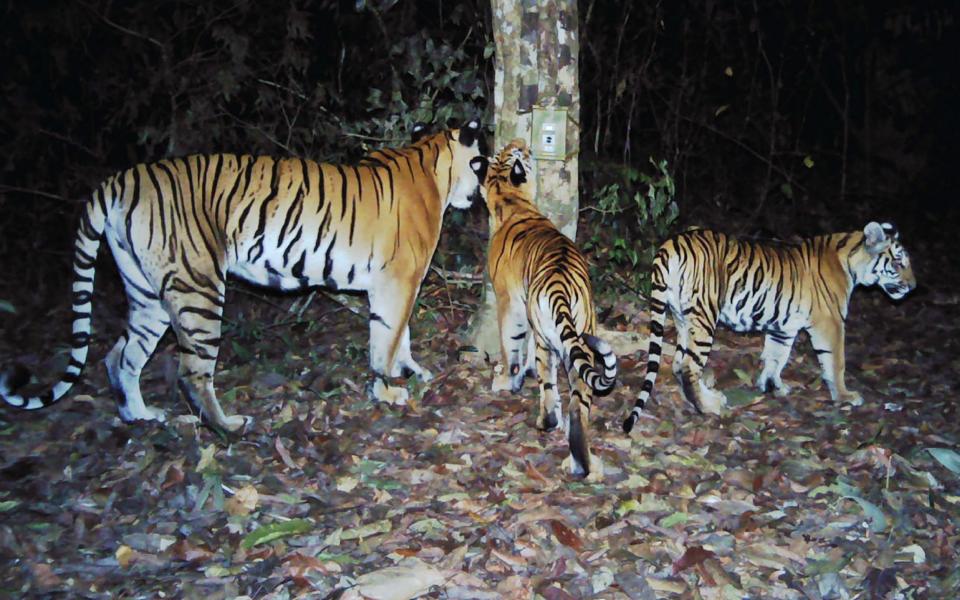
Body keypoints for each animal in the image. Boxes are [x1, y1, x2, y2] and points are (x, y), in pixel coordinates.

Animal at [0, 120, 488, 432]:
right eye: (482, 161)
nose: (480, 194)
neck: (430, 162)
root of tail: (118, 181)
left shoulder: (393, 283)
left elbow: (398, 335)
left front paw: (411, 372)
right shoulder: (397, 279)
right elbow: (386, 339)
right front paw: (389, 390)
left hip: (146, 293)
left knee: (119, 355)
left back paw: (140, 416)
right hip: (198, 287)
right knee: (191, 371)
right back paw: (229, 426)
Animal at [470, 137, 620, 478]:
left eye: (515, 152)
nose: (521, 142)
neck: (511, 200)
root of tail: (561, 286)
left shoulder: (510, 303)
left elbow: (511, 348)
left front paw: (507, 380)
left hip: (547, 340)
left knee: (550, 389)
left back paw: (547, 422)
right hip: (582, 335)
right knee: (579, 401)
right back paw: (580, 459)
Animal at [624, 220, 916, 432]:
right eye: (898, 262)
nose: (913, 287)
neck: (851, 261)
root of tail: (672, 243)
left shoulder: (782, 327)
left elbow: (777, 357)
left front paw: (772, 386)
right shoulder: (830, 323)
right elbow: (836, 362)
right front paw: (845, 396)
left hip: (682, 316)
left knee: (679, 363)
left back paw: (707, 398)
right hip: (705, 314)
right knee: (689, 365)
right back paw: (709, 407)